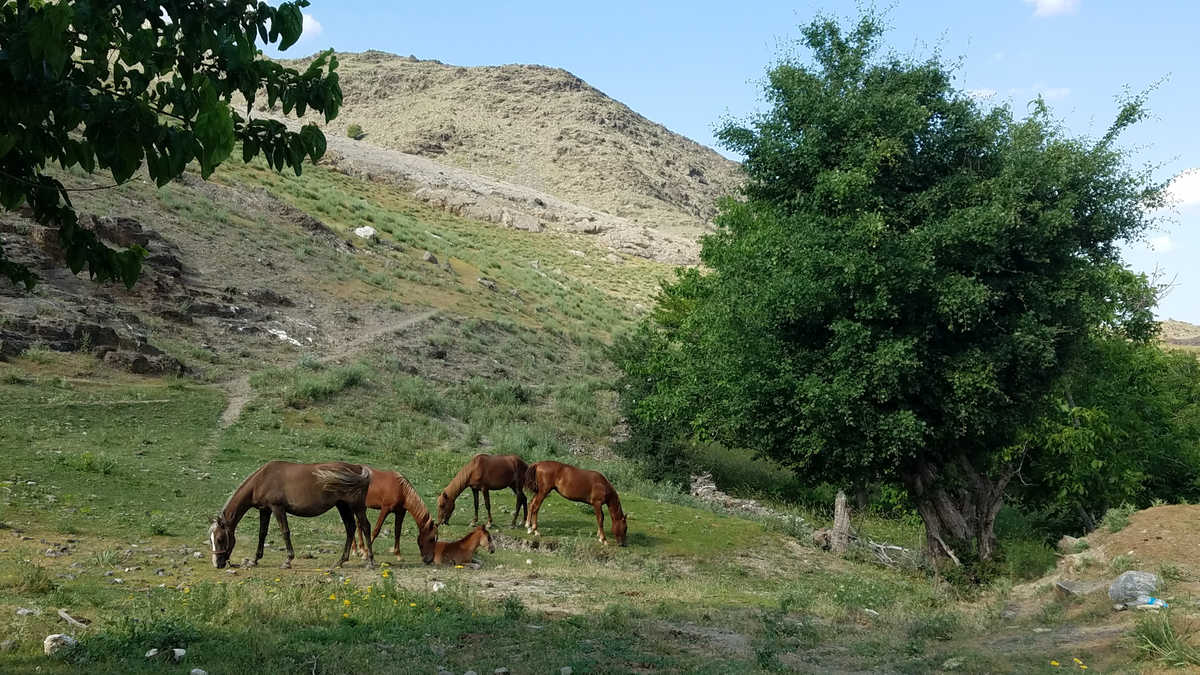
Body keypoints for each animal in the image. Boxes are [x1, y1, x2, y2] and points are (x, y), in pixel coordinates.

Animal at [208, 456, 372, 566]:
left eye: (220, 539)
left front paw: (288, 560)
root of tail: (358, 469)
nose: (216, 564)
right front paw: (255, 560)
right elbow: (262, 533)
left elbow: (285, 532)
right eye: (211, 540)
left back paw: (370, 560)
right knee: (350, 528)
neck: (261, 480)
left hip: (357, 507)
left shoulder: (277, 508)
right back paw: (341, 561)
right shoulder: (265, 510)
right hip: (343, 506)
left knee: (365, 527)